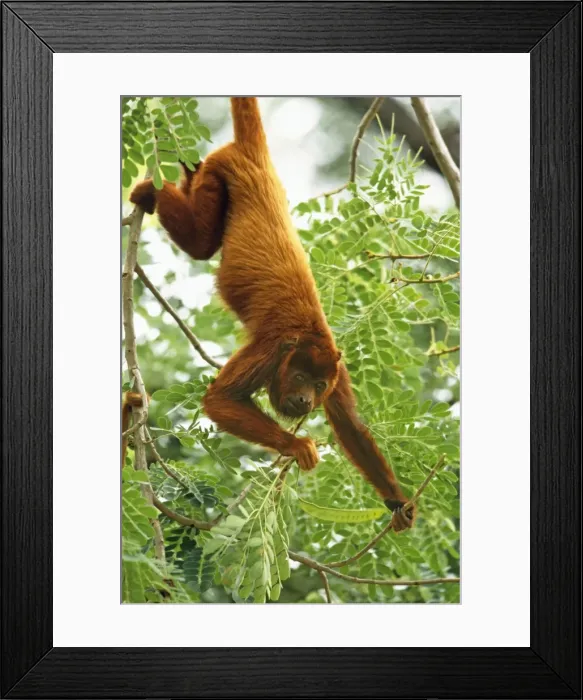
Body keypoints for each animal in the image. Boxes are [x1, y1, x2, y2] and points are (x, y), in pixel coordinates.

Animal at [130, 98, 415, 531]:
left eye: (318, 385)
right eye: (298, 378)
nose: (304, 400)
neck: (308, 337)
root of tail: (256, 156)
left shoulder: (337, 367)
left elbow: (349, 425)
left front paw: (397, 501)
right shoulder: (272, 348)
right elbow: (219, 399)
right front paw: (296, 445)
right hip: (219, 172)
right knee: (200, 243)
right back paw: (149, 189)